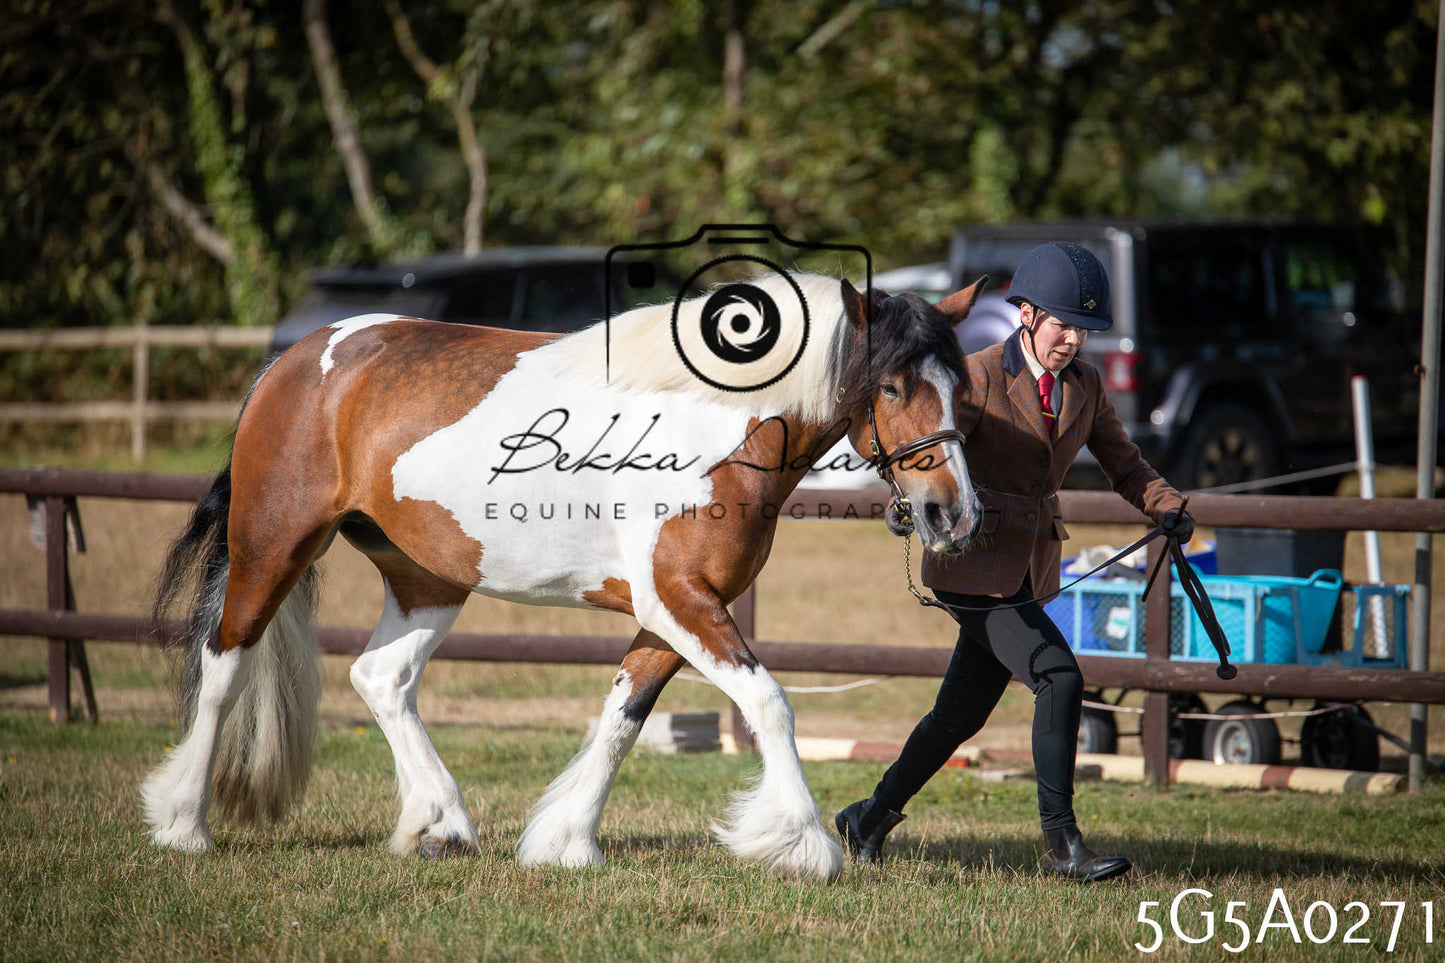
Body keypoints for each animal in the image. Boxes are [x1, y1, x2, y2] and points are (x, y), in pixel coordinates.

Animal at [141, 272, 988, 881]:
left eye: (962, 390)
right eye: (889, 387)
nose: (951, 513)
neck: (709, 431)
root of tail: (297, 357)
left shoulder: (674, 613)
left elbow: (623, 717)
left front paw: (565, 840)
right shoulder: (680, 600)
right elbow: (768, 703)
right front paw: (804, 844)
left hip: (426, 579)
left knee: (382, 678)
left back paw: (438, 822)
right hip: (273, 545)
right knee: (224, 664)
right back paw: (184, 823)